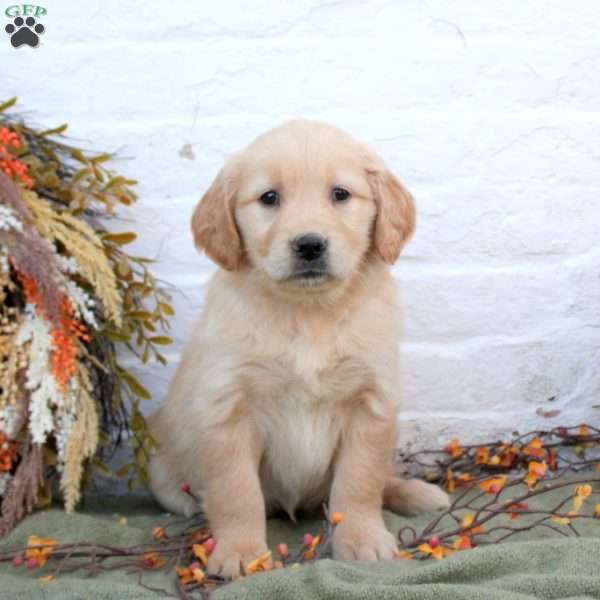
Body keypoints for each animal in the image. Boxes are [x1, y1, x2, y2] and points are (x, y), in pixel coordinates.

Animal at [148, 120, 450, 576]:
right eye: (269, 197)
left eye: (340, 194)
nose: (309, 245)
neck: (309, 314)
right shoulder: (227, 409)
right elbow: (237, 491)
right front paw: (241, 552)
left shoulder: (371, 404)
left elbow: (360, 483)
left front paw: (363, 539)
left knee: (381, 480)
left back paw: (415, 493)